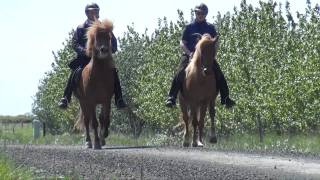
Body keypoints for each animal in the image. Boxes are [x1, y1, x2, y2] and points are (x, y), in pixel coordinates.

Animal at [74, 19, 115, 150]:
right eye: (96, 38)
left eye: (109, 37)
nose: (104, 50)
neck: (99, 75)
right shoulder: (91, 101)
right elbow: (94, 122)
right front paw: (96, 142)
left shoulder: (106, 100)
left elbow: (104, 119)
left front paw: (103, 138)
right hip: (83, 102)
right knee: (87, 120)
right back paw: (88, 142)